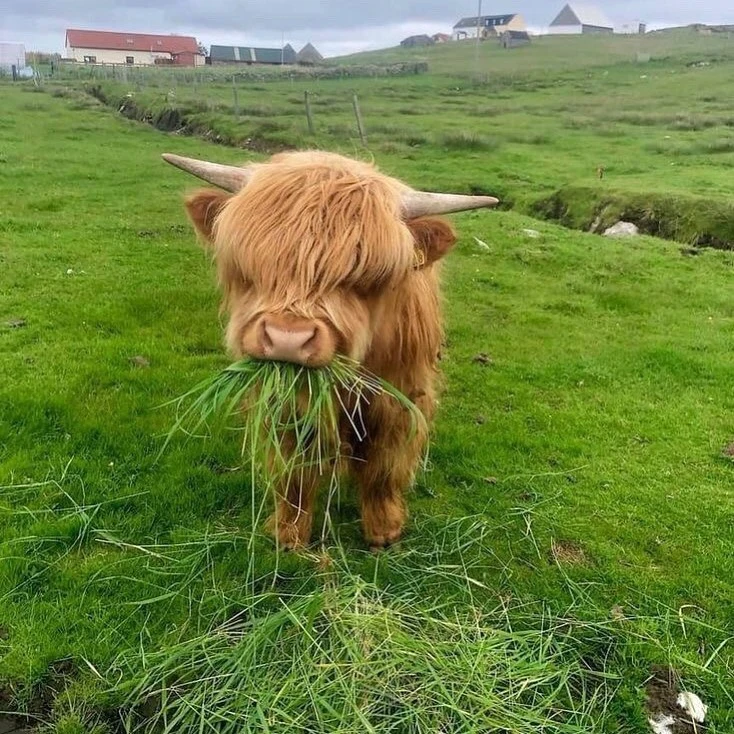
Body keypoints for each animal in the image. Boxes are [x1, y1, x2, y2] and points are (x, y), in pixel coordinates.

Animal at [163, 151, 498, 550]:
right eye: (251, 266)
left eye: (367, 277)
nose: (287, 338)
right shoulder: (286, 403)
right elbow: (293, 468)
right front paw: (289, 533)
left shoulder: (399, 396)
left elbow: (385, 463)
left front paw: (384, 529)